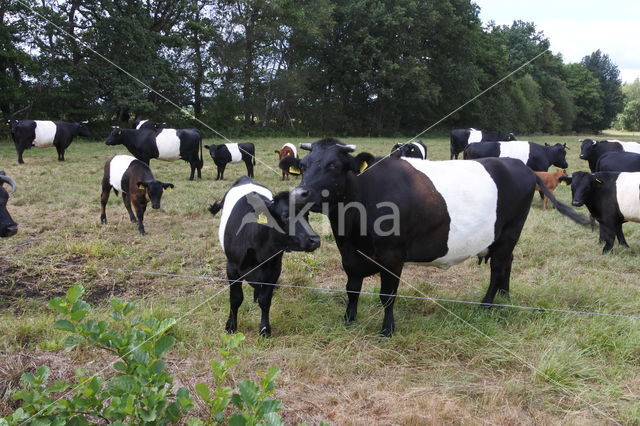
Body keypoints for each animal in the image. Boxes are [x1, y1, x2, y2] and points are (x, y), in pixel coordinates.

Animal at [209, 176, 320, 336]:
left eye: (307, 215)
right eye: (286, 216)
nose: (315, 240)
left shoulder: (274, 269)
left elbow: (265, 300)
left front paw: (265, 329)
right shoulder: (232, 267)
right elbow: (235, 299)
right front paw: (231, 326)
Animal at [292, 139, 588, 336]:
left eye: (333, 165)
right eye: (303, 166)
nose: (300, 194)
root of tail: (520, 167)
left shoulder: (393, 254)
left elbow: (387, 295)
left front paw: (387, 330)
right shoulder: (349, 252)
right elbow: (352, 289)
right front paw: (348, 320)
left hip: (510, 231)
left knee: (497, 267)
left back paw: (486, 305)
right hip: (503, 236)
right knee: (508, 262)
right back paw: (505, 296)